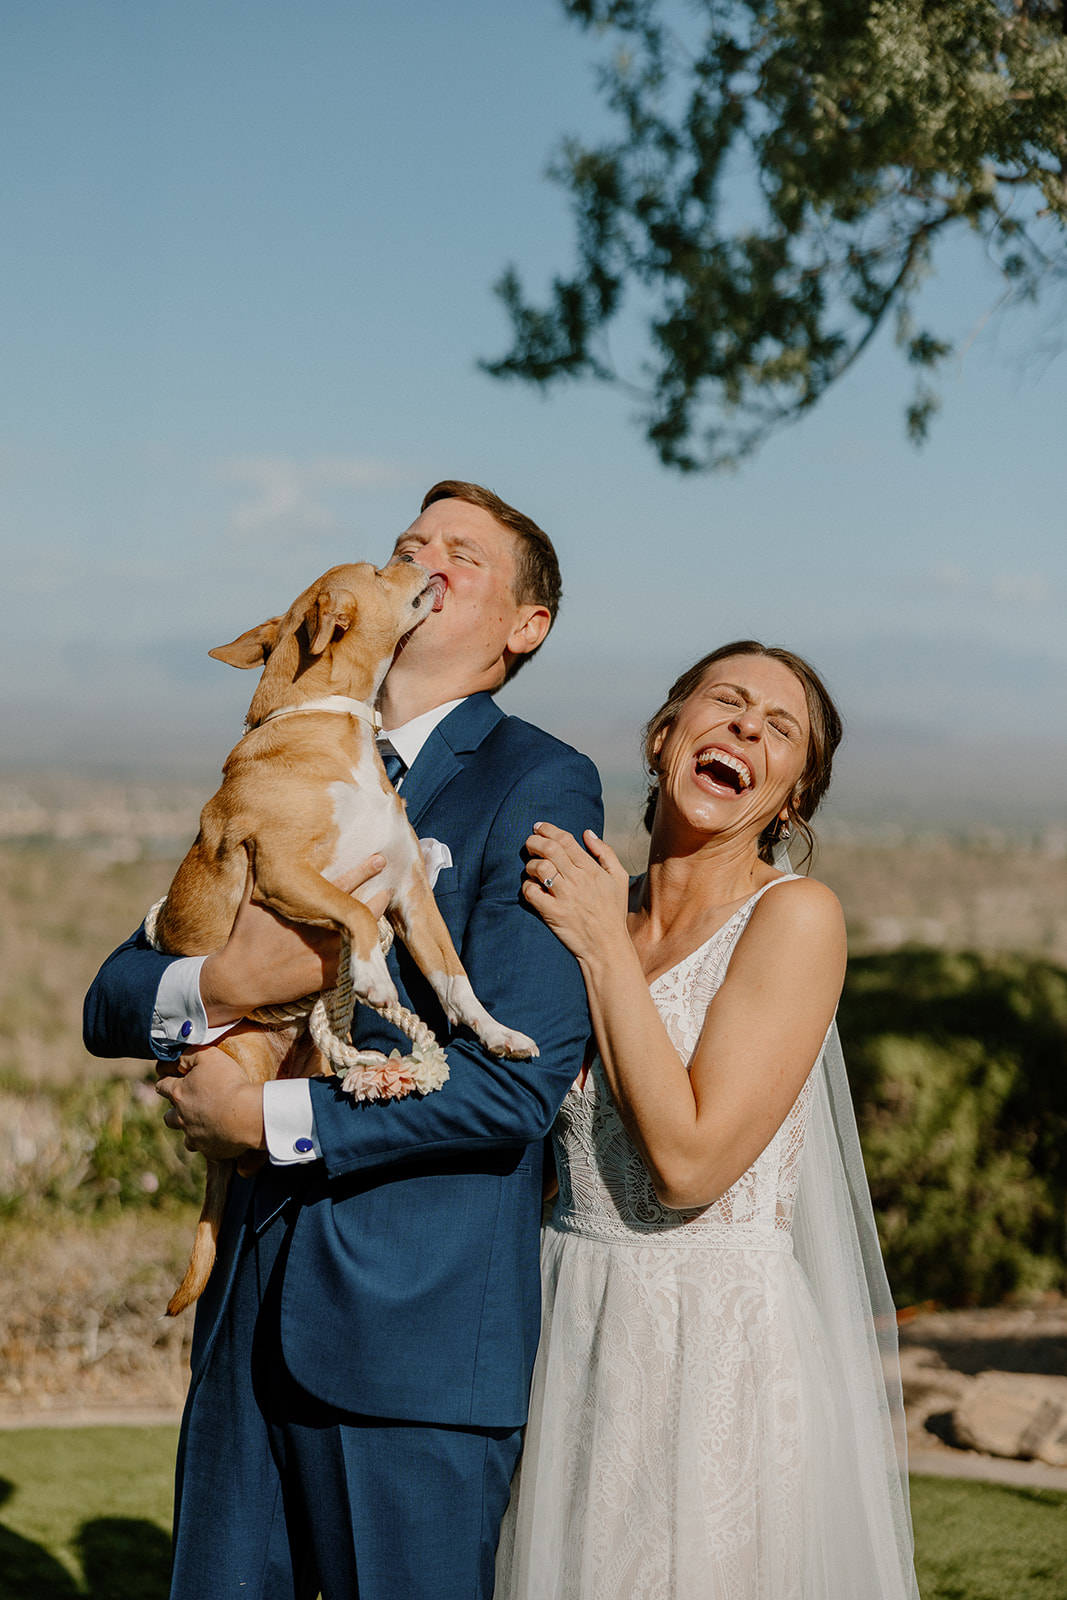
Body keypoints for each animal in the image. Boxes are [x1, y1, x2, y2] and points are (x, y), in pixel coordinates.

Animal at [154, 560, 537, 1312]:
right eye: (386, 567)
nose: (424, 563)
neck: (329, 724)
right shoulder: (287, 870)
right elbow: (357, 920)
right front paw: (372, 976)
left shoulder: (412, 894)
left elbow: (455, 979)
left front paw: (498, 1032)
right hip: (236, 1063)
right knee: (249, 1151)